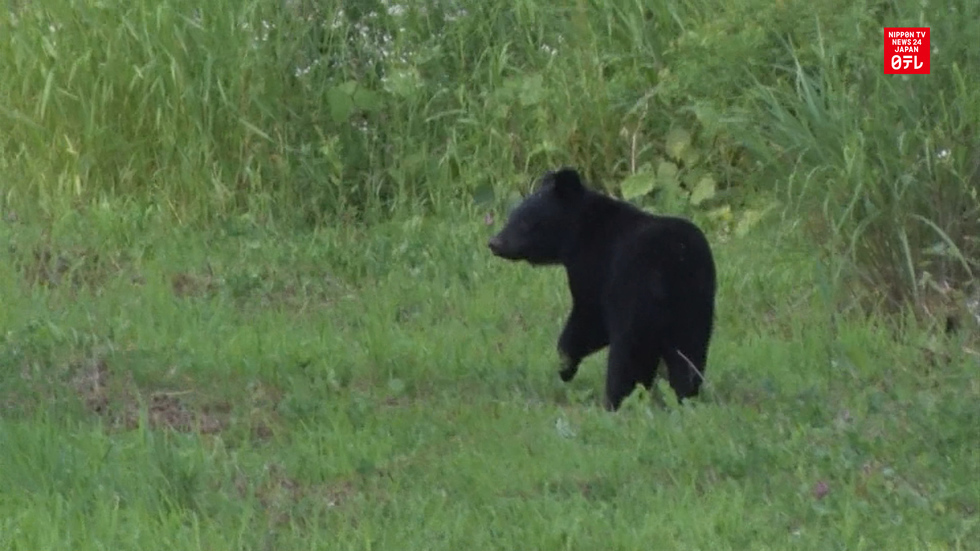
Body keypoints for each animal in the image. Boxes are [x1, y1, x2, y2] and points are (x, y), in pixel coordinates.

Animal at [487, 167, 717, 411]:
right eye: (512, 215)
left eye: (525, 221)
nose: (494, 242)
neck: (582, 230)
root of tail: (675, 263)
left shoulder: (596, 272)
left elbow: (590, 319)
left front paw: (564, 367)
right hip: (694, 310)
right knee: (688, 358)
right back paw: (684, 398)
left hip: (640, 300)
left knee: (629, 356)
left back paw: (615, 401)